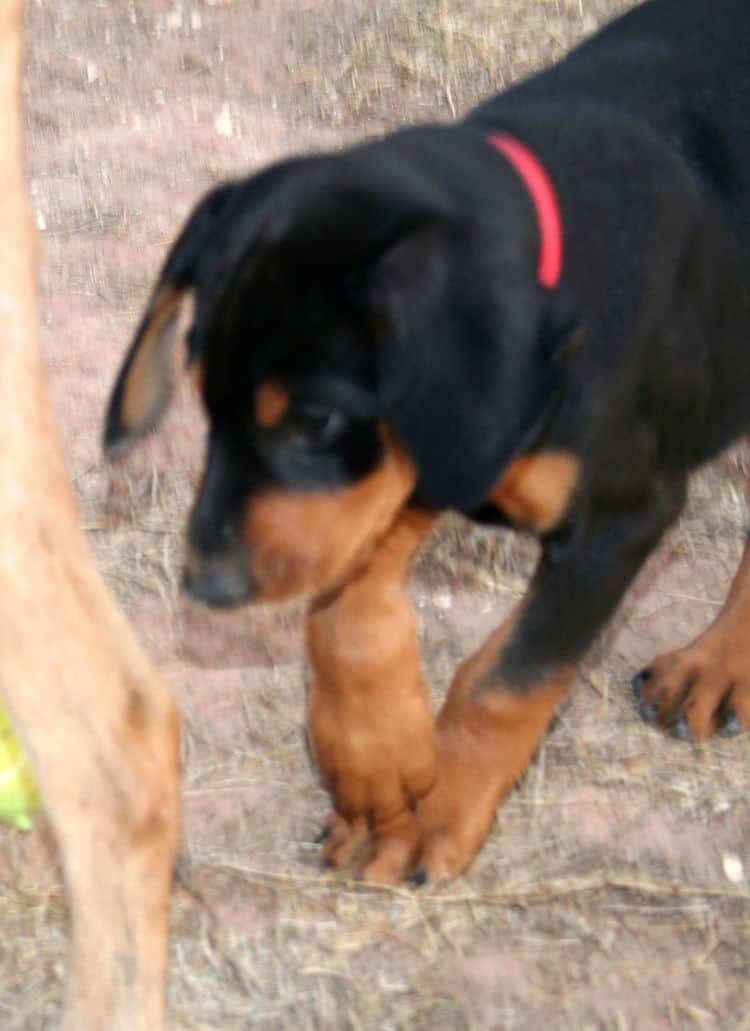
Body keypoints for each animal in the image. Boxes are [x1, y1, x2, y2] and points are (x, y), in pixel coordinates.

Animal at [104, 2, 750, 886]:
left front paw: (435, 813)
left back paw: (713, 665)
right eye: (203, 399)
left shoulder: (620, 517)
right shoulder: (411, 468)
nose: (207, 585)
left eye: (316, 419)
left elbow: (507, 682)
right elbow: (341, 615)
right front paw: (376, 761)